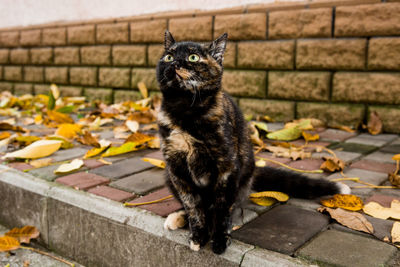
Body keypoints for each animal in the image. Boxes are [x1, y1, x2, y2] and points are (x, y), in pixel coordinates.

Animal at [155, 31, 350, 255]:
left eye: (193, 57)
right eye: (168, 57)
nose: (174, 63)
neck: (184, 109)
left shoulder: (227, 167)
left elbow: (222, 208)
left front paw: (219, 239)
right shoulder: (177, 169)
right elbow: (193, 206)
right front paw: (198, 236)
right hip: (168, 175)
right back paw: (177, 217)